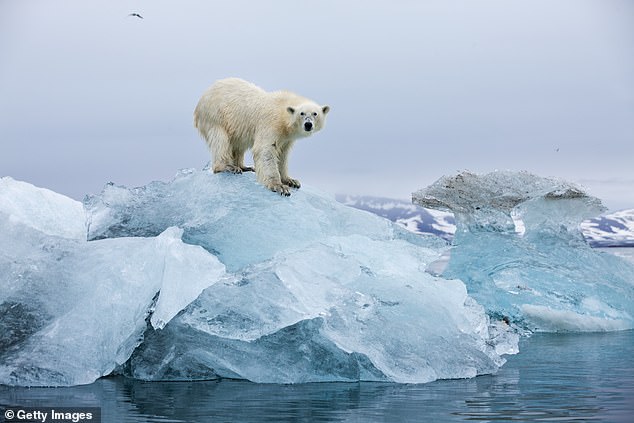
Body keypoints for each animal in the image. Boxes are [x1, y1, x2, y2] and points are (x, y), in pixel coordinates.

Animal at [194, 78, 330, 197]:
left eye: (315, 113)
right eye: (302, 113)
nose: (308, 124)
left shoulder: (286, 138)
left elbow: (282, 155)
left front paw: (291, 180)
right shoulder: (271, 124)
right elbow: (266, 150)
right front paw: (279, 186)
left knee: (238, 144)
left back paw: (244, 167)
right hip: (216, 115)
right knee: (220, 140)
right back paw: (228, 167)